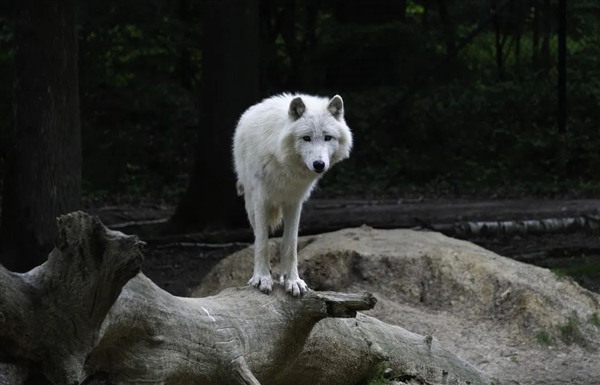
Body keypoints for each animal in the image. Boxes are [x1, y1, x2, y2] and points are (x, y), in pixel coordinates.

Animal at [232, 93, 354, 296]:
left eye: (328, 137)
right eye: (306, 138)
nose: (319, 164)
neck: (285, 164)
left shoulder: (295, 202)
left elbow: (290, 245)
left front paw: (292, 281)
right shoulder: (261, 199)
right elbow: (262, 243)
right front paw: (262, 278)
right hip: (250, 202)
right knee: (257, 234)